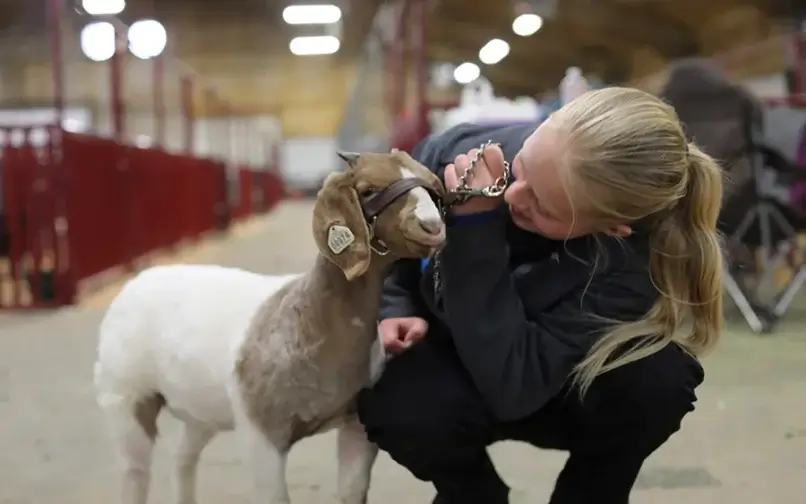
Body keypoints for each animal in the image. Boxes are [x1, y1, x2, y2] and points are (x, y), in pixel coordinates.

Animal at [93, 150, 446, 504]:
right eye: (369, 189)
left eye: (429, 185)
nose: (432, 227)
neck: (311, 318)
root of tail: (140, 280)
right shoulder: (261, 434)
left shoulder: (356, 426)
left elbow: (352, 492)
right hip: (125, 395)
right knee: (135, 472)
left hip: (200, 409)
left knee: (182, 459)